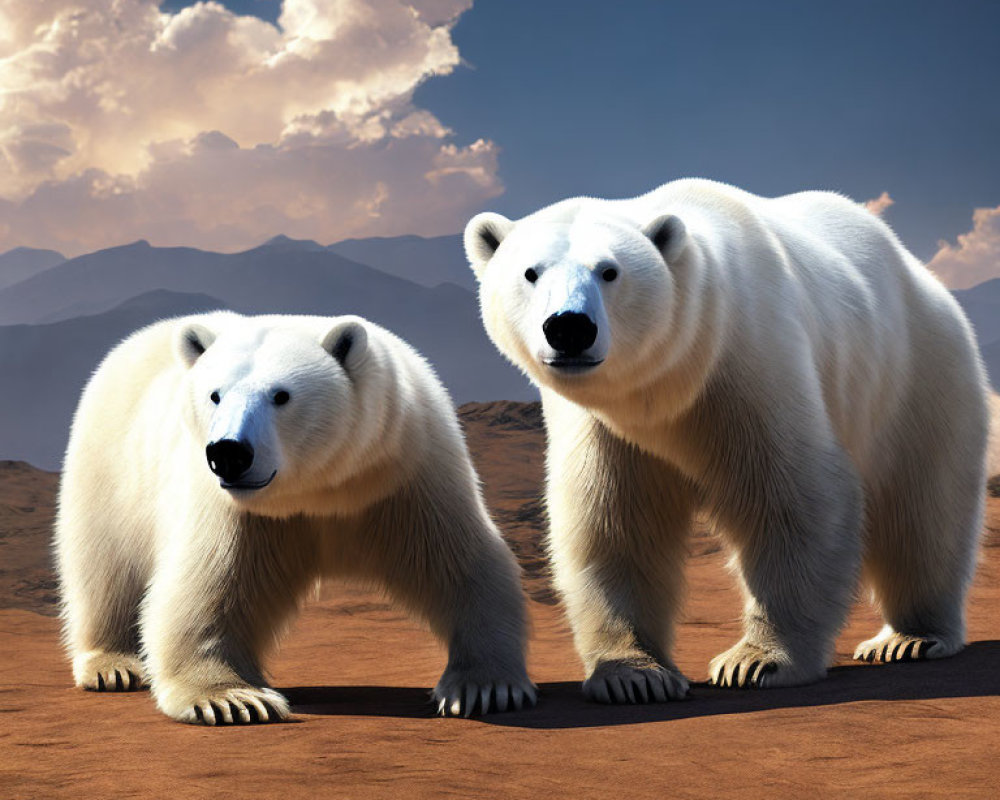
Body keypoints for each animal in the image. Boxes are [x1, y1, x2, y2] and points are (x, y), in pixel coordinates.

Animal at [55, 312, 536, 724]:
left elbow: (461, 564)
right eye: (215, 394)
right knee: (105, 566)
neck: (318, 488)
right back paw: (113, 666)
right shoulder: (234, 508)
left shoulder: (404, 471)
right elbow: (206, 586)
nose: (228, 453)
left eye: (281, 395)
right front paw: (232, 699)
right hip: (111, 462)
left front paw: (483, 688)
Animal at [464, 178, 988, 704]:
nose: (569, 326)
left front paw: (756, 661)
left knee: (924, 508)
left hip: (918, 374)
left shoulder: (749, 362)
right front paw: (633, 674)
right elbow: (613, 523)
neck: (671, 381)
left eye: (609, 271)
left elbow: (795, 499)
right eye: (530, 272)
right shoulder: (607, 426)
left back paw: (910, 637)